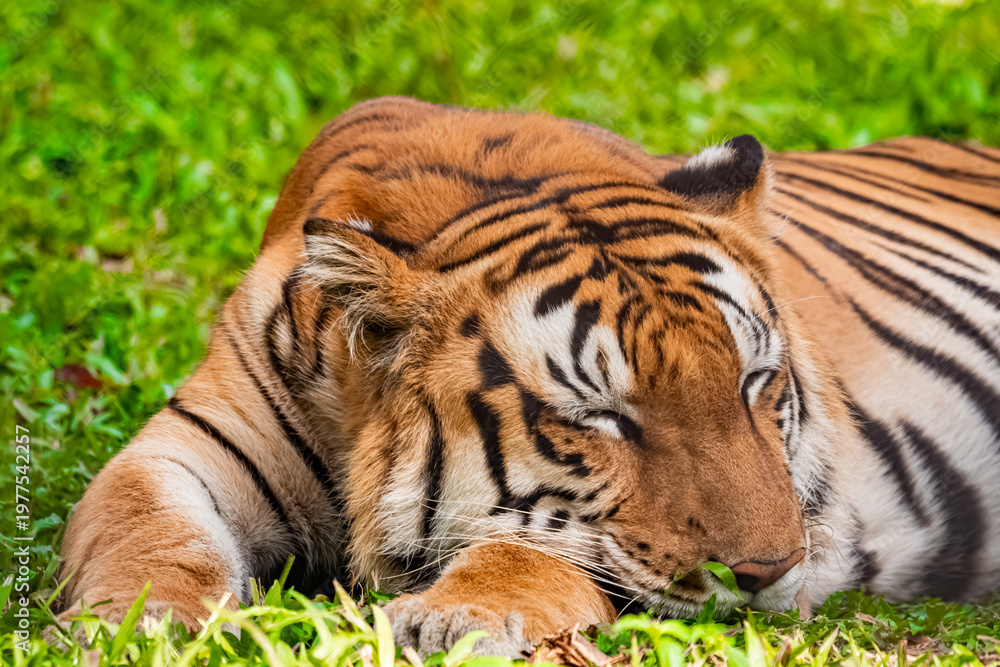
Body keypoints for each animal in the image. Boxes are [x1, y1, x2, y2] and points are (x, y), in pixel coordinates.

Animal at [57, 96, 1000, 657]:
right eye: (602, 416)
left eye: (754, 381)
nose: (773, 570)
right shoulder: (188, 442)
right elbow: (145, 531)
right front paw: (142, 627)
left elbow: (530, 547)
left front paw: (456, 615)